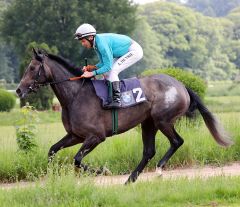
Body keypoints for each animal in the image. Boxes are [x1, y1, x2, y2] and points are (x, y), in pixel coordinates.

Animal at [15, 49, 232, 184]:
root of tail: (180, 84)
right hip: (148, 123)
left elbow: (77, 159)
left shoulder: (96, 136)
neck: (75, 95)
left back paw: (159, 169)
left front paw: (103, 171)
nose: (18, 90)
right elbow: (52, 150)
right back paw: (130, 179)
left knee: (177, 141)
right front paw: (52, 176)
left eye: (32, 68)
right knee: (148, 151)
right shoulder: (75, 135)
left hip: (163, 120)